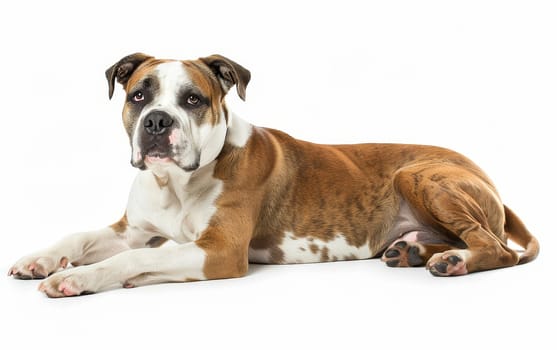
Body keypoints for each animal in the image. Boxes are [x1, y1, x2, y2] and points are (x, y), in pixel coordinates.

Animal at [8, 53, 540, 296]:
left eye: (193, 99)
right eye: (139, 94)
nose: (157, 122)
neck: (175, 185)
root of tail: (485, 174)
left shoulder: (218, 252)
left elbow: (129, 260)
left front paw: (78, 278)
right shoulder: (132, 229)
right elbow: (80, 236)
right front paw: (40, 259)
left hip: (419, 176)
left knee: (497, 248)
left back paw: (455, 261)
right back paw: (414, 252)